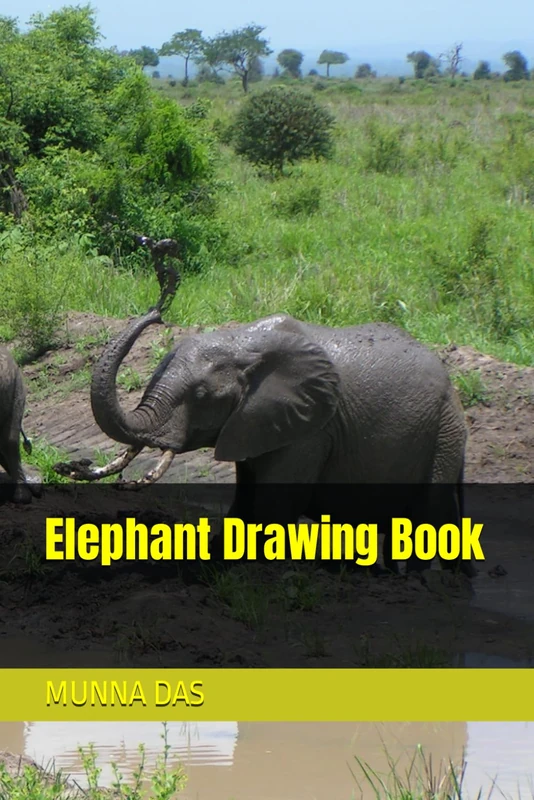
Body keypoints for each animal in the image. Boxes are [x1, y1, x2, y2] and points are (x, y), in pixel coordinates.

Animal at [53, 307, 476, 578]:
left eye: (201, 396)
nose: (157, 310)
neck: (243, 343)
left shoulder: (310, 430)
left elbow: (274, 506)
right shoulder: (254, 424)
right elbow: (245, 500)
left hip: (443, 433)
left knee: (429, 516)